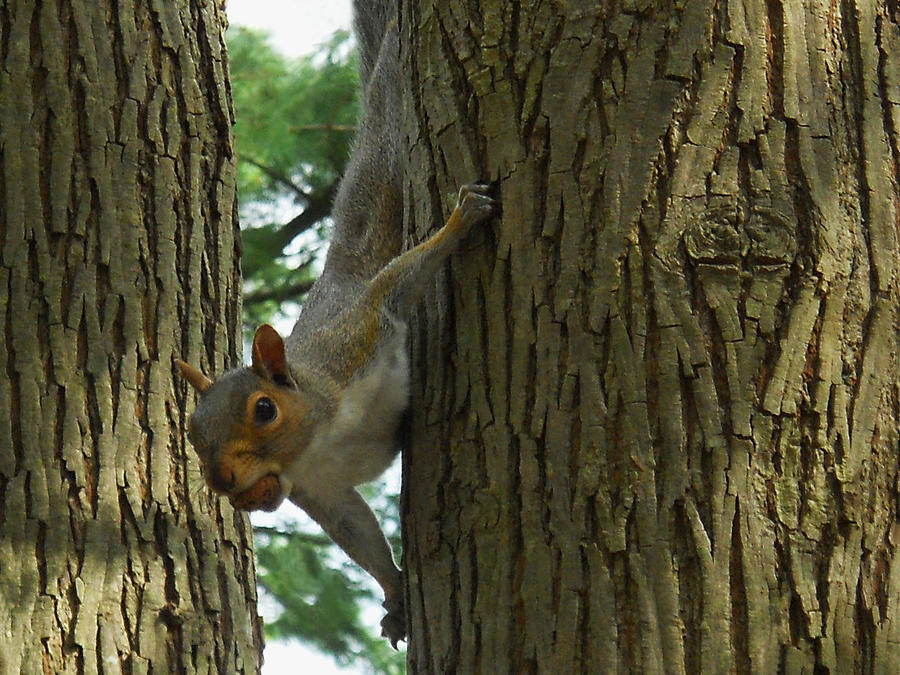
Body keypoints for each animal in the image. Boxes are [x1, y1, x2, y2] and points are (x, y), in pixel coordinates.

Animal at [176, 0, 500, 648]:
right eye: (194, 434)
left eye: (264, 410)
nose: (222, 479)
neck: (320, 438)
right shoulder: (321, 492)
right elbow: (361, 536)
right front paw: (396, 594)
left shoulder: (359, 337)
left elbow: (397, 285)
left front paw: (459, 224)